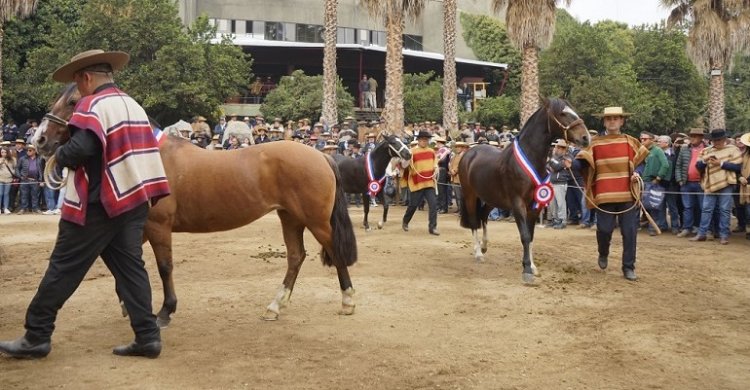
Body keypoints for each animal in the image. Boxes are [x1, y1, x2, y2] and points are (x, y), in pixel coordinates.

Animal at [34, 84, 362, 326]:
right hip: (290, 217)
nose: (40, 140)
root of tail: (321, 156)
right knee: (295, 257)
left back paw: (348, 301)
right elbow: (122, 263)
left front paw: (165, 311)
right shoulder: (141, 227)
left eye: (73, 100)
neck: (147, 156)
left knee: (333, 250)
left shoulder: (158, 226)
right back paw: (274, 307)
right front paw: (128, 303)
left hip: (315, 220)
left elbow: (164, 266)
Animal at [458, 96, 592, 282]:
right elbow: (525, 235)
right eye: (562, 113)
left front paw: (533, 266)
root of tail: (470, 152)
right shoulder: (518, 204)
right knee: (473, 220)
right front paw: (527, 269)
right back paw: (478, 253)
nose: (586, 138)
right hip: (470, 195)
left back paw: (484, 246)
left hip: (492, 198)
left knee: (483, 216)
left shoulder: (535, 205)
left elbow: (531, 235)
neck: (530, 157)